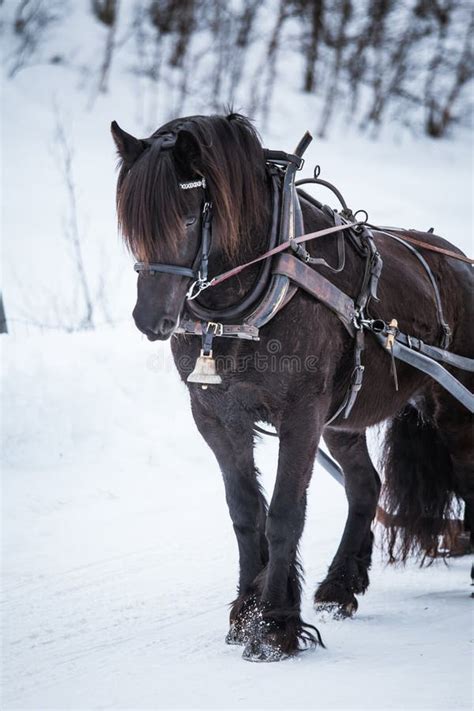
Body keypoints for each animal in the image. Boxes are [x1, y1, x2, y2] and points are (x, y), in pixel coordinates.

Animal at [112, 111, 474, 660]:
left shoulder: (302, 413)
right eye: (132, 225)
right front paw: (246, 613)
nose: (150, 319)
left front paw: (275, 626)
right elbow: (245, 511)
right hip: (343, 420)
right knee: (365, 486)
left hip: (451, 408)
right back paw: (340, 586)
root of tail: (461, 263)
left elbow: (284, 513)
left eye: (190, 219)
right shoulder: (216, 416)